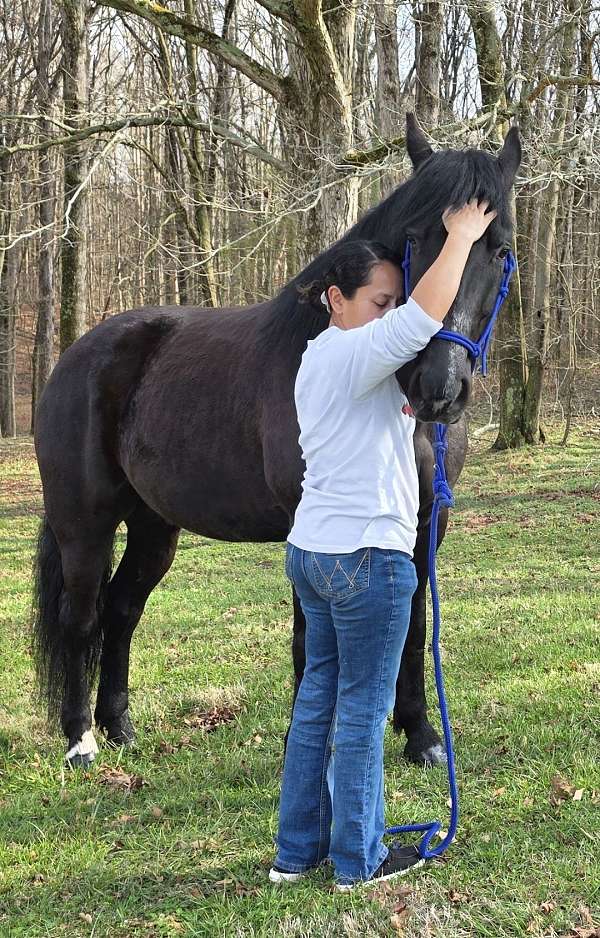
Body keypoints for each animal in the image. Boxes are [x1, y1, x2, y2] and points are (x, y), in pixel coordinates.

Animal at [31, 114, 521, 767]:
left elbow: (414, 626)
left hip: (154, 526)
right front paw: (306, 746)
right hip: (84, 521)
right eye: (417, 240)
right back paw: (81, 740)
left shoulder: (424, 524)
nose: (438, 386)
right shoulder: (306, 522)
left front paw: (422, 737)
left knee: (122, 609)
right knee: (83, 615)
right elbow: (309, 637)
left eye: (501, 250)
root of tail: (78, 354)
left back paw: (121, 729)